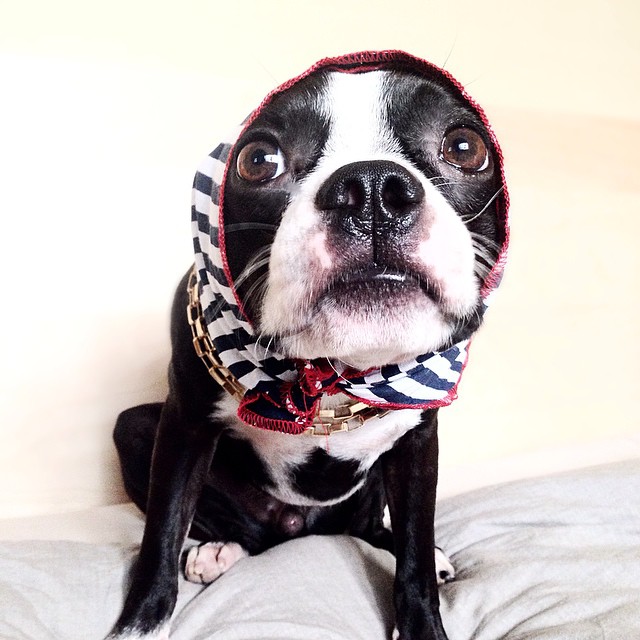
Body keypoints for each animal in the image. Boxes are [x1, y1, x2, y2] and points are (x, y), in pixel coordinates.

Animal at [109, 50, 509, 640]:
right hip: (136, 427)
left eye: (465, 147)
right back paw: (218, 549)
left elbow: (414, 544)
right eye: (257, 159)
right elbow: (160, 534)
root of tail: (303, 529)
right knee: (234, 529)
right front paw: (139, 625)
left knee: (375, 528)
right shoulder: (182, 426)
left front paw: (421, 619)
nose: (372, 188)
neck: (332, 368)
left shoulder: (418, 441)